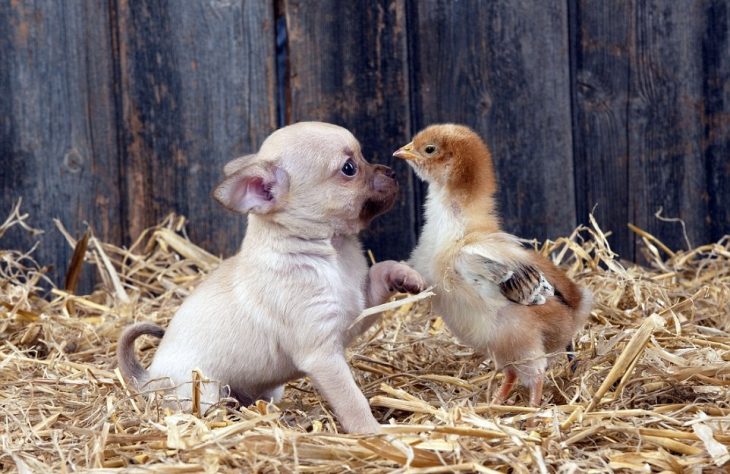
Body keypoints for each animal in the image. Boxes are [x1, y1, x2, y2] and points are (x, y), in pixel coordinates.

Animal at [116, 122, 424, 434]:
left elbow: (381, 269)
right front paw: (372, 432)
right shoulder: (322, 354)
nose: (392, 171)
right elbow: (352, 400)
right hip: (205, 391)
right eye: (349, 168)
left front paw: (406, 275)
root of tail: (149, 380)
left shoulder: (358, 307)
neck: (334, 252)